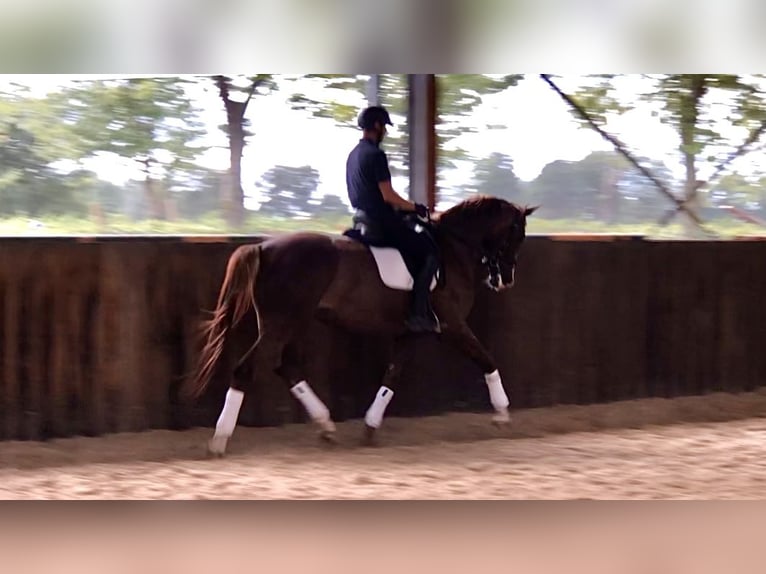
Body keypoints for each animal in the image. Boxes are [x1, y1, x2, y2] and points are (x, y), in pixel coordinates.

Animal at [187, 194, 537, 456]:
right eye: (516, 234)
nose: (505, 279)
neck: (451, 249)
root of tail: (263, 247)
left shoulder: (410, 333)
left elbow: (392, 376)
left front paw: (370, 426)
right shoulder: (452, 325)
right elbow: (487, 360)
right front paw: (503, 415)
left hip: (293, 322)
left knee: (286, 366)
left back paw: (326, 426)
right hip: (282, 323)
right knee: (249, 369)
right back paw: (219, 441)